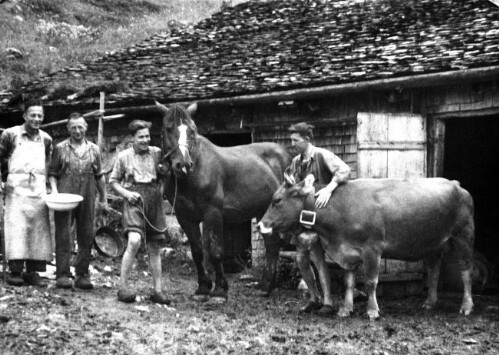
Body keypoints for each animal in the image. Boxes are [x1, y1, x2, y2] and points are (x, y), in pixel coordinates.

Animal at [157, 101, 292, 302]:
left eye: (192, 130)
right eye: (168, 128)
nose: (183, 165)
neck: (196, 172)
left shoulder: (213, 213)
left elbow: (215, 251)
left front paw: (220, 291)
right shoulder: (185, 217)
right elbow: (197, 252)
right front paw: (203, 288)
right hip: (263, 211)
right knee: (272, 245)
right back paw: (265, 286)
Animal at [260, 177, 474, 318]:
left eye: (277, 200)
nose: (260, 225)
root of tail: (457, 185)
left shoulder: (372, 249)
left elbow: (370, 281)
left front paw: (372, 310)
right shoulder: (347, 252)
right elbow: (349, 281)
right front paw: (346, 309)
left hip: (463, 236)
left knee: (465, 271)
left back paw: (466, 306)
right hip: (434, 244)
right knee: (434, 271)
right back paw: (429, 302)